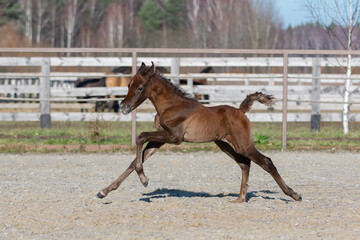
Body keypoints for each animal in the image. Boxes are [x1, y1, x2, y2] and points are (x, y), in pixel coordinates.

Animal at [97, 62, 300, 202]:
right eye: (128, 85)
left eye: (140, 87)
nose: (123, 107)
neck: (171, 106)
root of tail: (241, 110)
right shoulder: (161, 139)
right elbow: (136, 160)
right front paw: (104, 191)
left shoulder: (174, 137)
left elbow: (140, 138)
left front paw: (144, 180)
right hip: (225, 144)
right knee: (245, 164)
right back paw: (240, 198)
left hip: (243, 144)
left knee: (266, 162)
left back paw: (294, 194)